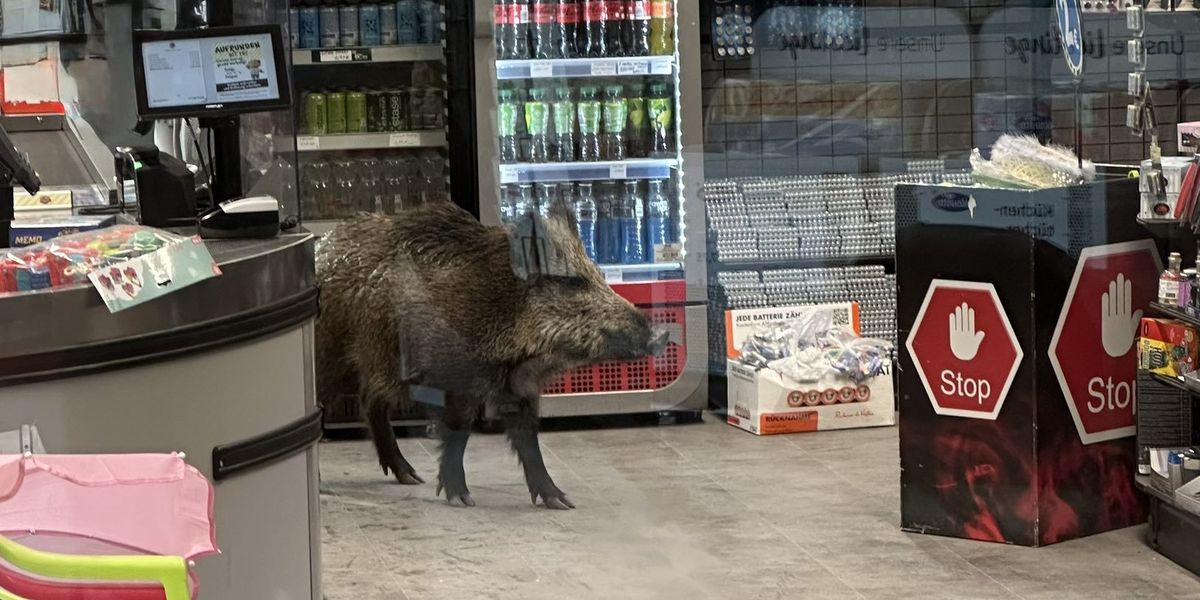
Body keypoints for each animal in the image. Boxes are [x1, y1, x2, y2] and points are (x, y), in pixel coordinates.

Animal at [315, 201, 667, 509]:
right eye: (572, 282)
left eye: (600, 276)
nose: (662, 334)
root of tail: (322, 248)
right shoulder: (456, 380)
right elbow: (458, 433)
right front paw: (461, 499)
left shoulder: (520, 389)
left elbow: (529, 441)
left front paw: (561, 502)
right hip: (332, 360)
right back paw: (321, 485)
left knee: (371, 402)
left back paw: (410, 476)